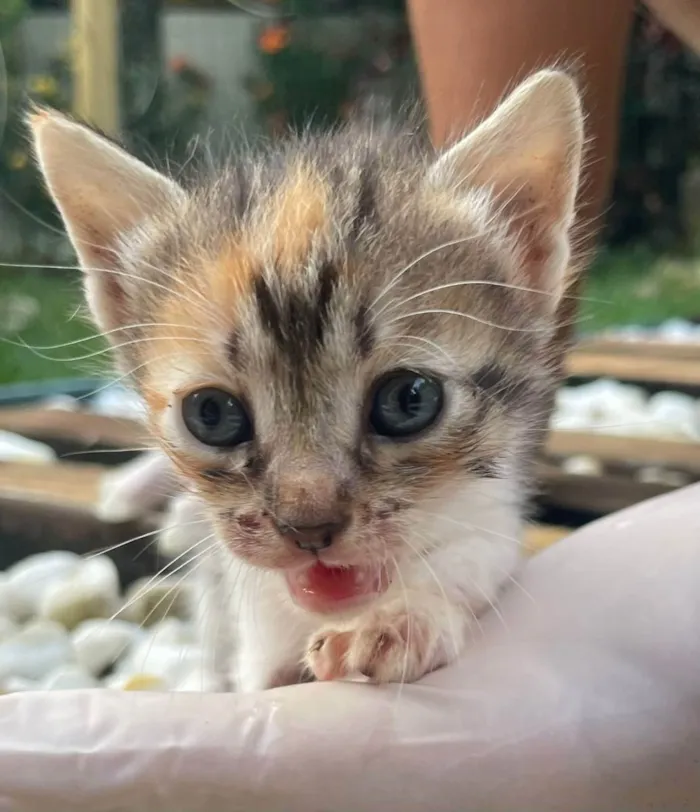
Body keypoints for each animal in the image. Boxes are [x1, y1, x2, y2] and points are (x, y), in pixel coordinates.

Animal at [28, 70, 584, 692]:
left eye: (408, 400)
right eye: (211, 414)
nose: (308, 528)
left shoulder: (495, 509)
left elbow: (472, 556)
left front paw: (402, 615)